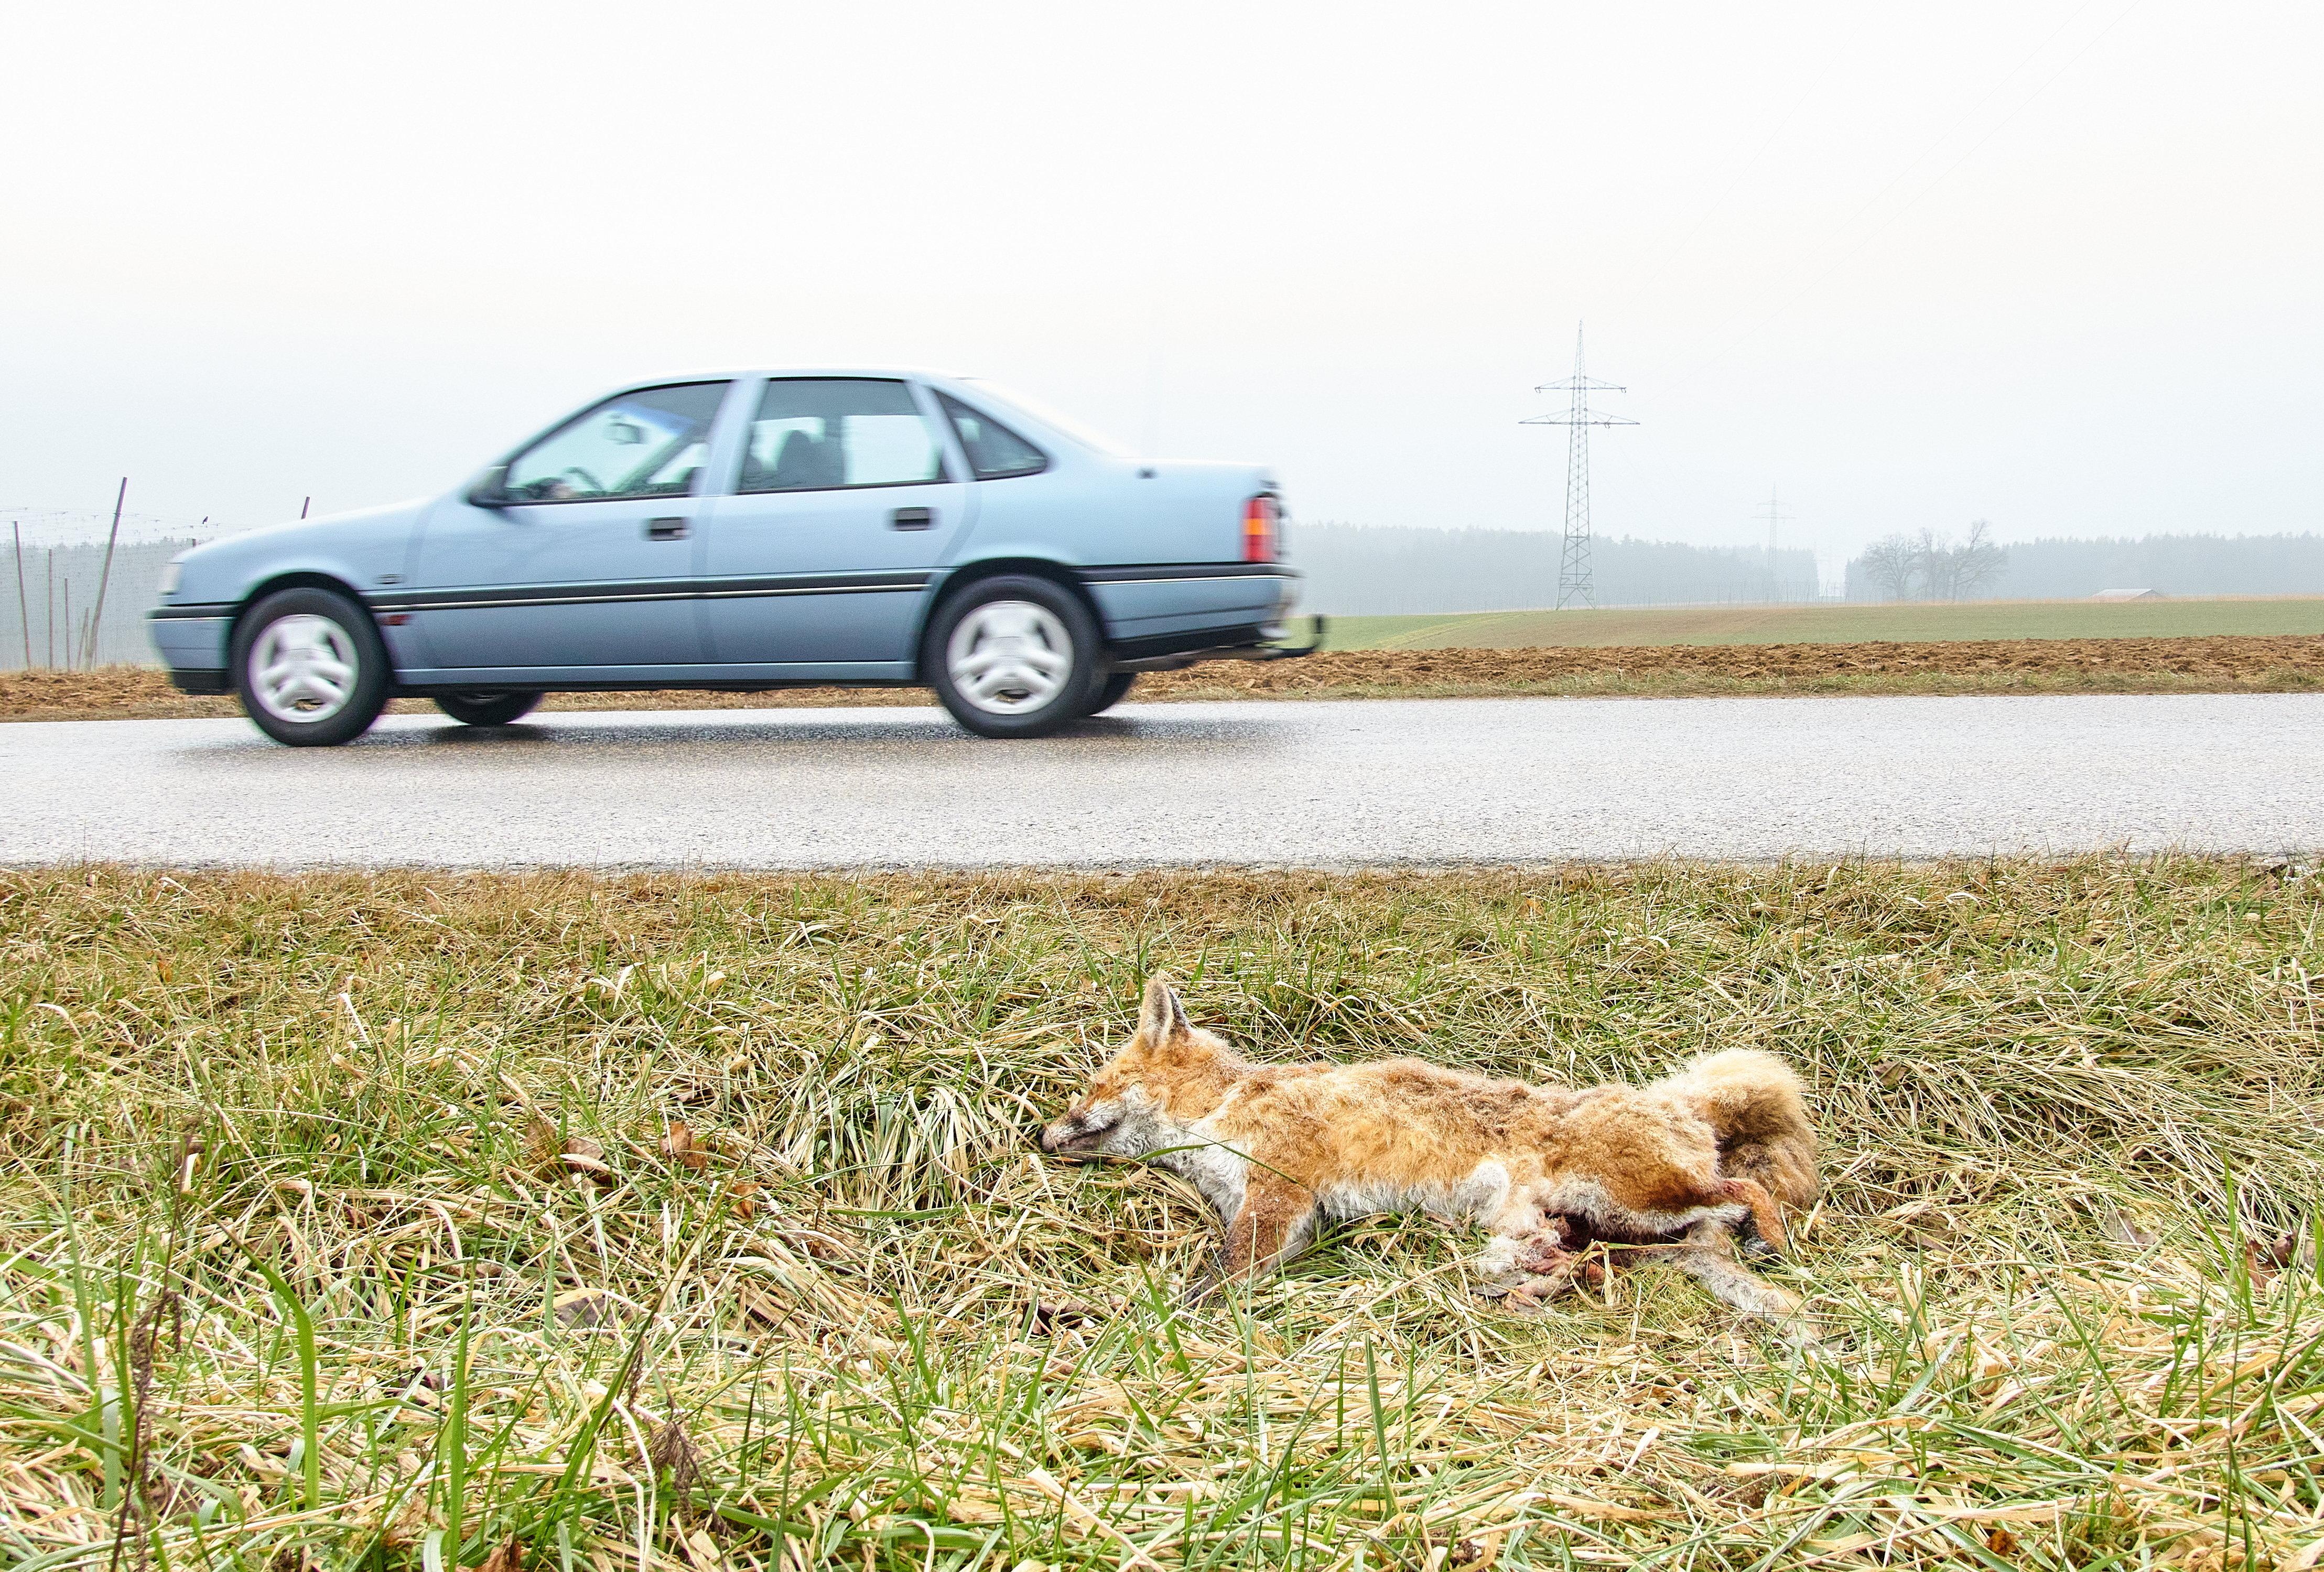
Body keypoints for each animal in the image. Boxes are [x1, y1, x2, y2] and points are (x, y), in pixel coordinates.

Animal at [1039, 975, 1820, 1334]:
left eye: (1095, 1085)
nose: (1040, 1135)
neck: (1230, 1103)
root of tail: (1679, 1102)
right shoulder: (1287, 1221)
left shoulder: (1279, 1195)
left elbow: (1208, 1282)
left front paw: (1131, 1322)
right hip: (1618, 1227)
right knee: (1611, 1257)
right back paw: (1533, 1286)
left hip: (1636, 1196)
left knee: (1746, 1191)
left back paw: (1773, 1239)